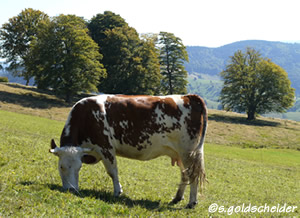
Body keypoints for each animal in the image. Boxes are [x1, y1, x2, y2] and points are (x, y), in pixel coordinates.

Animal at [49, 93, 209, 208]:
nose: (71, 190)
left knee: (193, 175)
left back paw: (191, 203)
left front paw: (117, 191)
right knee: (185, 175)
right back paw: (177, 198)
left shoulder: (106, 147)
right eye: (61, 167)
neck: (87, 115)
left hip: (188, 152)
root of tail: (189, 96)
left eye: (78, 167)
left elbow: (112, 172)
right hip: (180, 154)